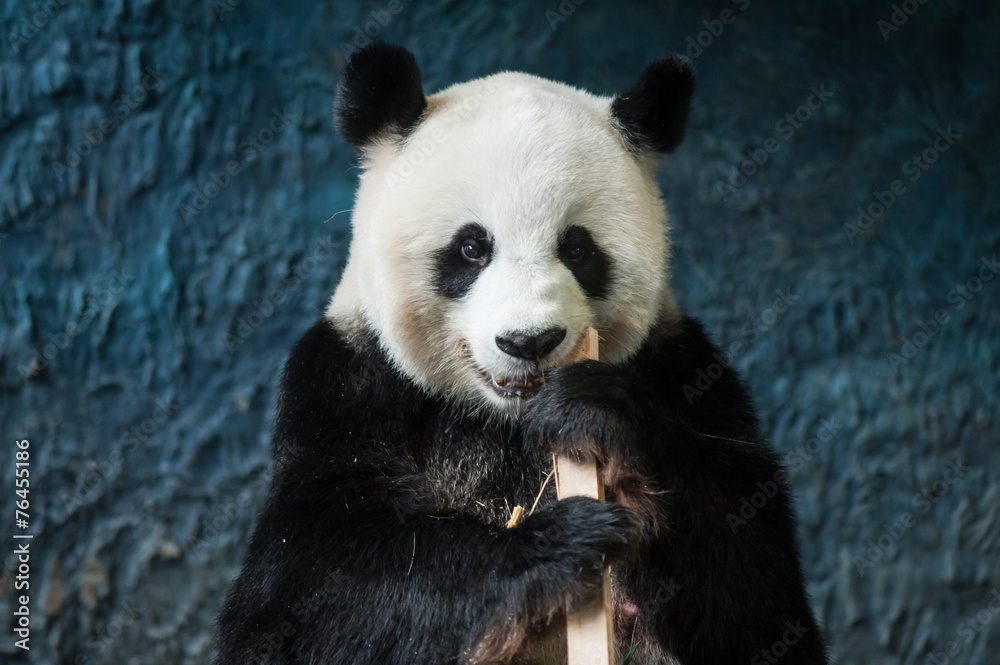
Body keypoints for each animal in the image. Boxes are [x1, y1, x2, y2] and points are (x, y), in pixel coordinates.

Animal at [215, 43, 827, 665]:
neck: (505, 421)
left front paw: (595, 411)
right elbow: (305, 593)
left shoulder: (684, 370)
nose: (529, 342)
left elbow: (759, 595)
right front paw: (555, 546)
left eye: (578, 248)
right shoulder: (343, 385)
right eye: (471, 247)